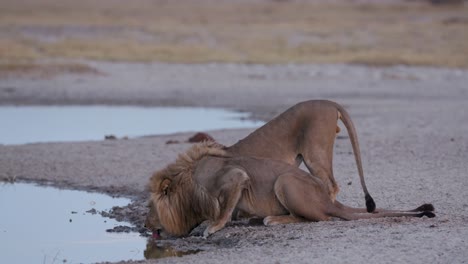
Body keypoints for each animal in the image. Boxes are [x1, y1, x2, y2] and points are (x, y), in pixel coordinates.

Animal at [147, 143, 436, 238]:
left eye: (149, 208)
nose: (146, 224)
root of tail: (327, 199)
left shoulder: (235, 177)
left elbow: (225, 209)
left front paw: (212, 227)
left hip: (284, 181)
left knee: (318, 218)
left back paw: (271, 219)